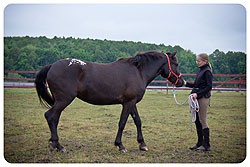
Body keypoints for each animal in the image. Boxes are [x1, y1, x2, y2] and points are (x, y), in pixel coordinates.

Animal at [34, 50, 184, 152]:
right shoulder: (128, 103)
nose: (181, 82)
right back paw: (58, 145)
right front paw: (120, 145)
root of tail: (52, 65)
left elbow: (138, 121)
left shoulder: (132, 103)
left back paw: (56, 145)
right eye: (176, 64)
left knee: (55, 119)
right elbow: (122, 123)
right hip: (63, 100)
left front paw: (142, 144)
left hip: (59, 101)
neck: (138, 72)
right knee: (49, 116)